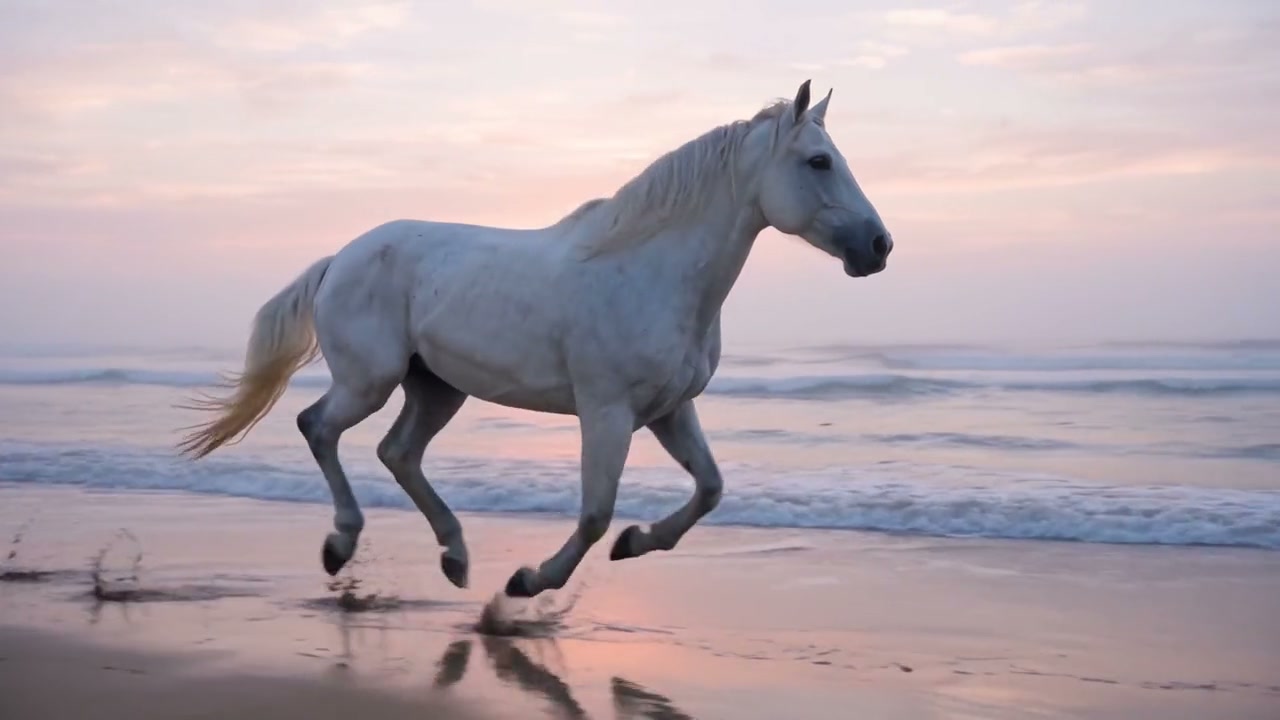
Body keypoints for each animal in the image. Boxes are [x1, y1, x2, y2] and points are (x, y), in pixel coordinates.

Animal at [177, 79, 893, 599]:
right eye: (819, 161)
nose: (879, 246)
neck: (651, 270)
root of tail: (339, 259)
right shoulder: (607, 412)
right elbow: (595, 511)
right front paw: (529, 582)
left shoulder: (669, 410)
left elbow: (710, 488)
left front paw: (635, 542)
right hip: (369, 380)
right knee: (319, 427)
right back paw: (342, 544)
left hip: (436, 388)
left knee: (397, 452)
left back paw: (455, 556)